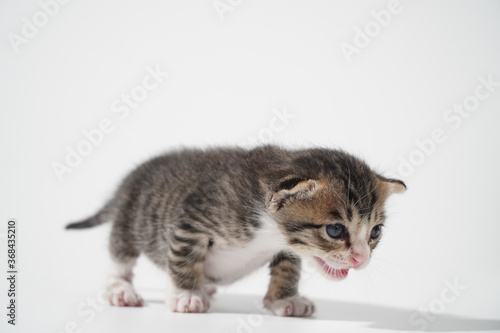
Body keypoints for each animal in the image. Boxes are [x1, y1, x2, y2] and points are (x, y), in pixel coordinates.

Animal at [66, 145, 404, 316]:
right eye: (335, 230)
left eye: (375, 233)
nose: (361, 258)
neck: (268, 230)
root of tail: (127, 181)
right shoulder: (190, 221)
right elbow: (184, 260)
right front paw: (187, 295)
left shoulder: (285, 247)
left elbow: (287, 270)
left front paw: (285, 300)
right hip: (128, 222)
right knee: (119, 258)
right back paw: (121, 290)